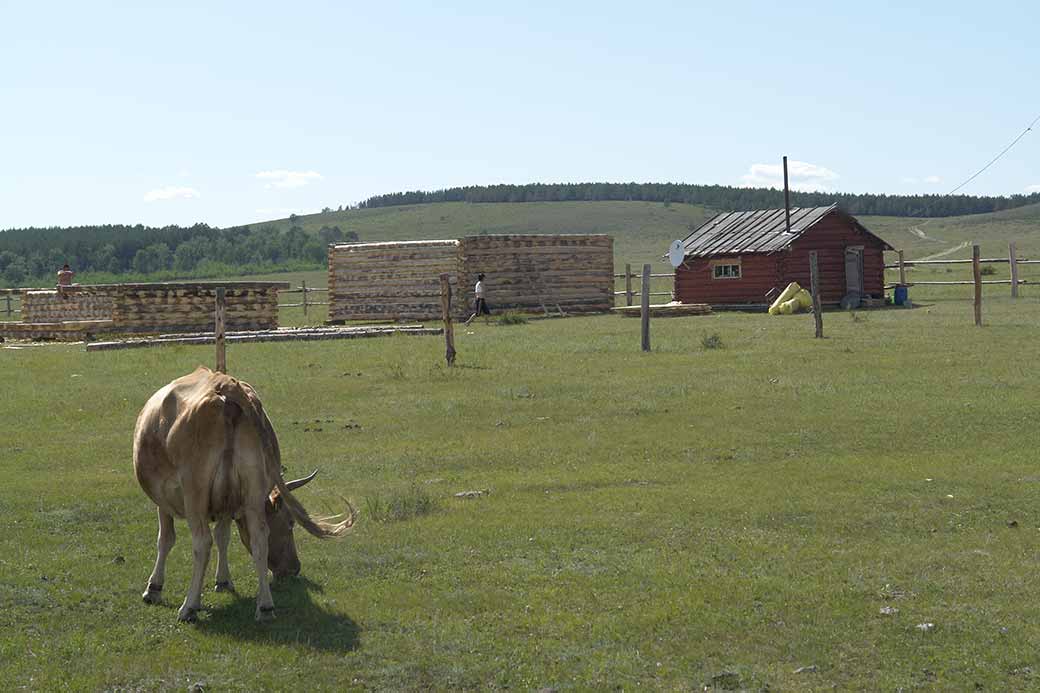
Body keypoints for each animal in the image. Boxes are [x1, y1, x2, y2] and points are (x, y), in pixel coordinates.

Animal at [134, 366, 355, 620]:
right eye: (290, 523)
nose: (294, 569)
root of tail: (227, 386)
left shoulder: (164, 500)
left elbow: (166, 539)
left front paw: (154, 588)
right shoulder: (227, 505)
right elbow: (223, 536)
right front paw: (223, 580)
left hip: (194, 492)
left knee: (202, 542)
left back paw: (189, 605)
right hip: (253, 487)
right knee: (260, 537)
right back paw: (265, 606)